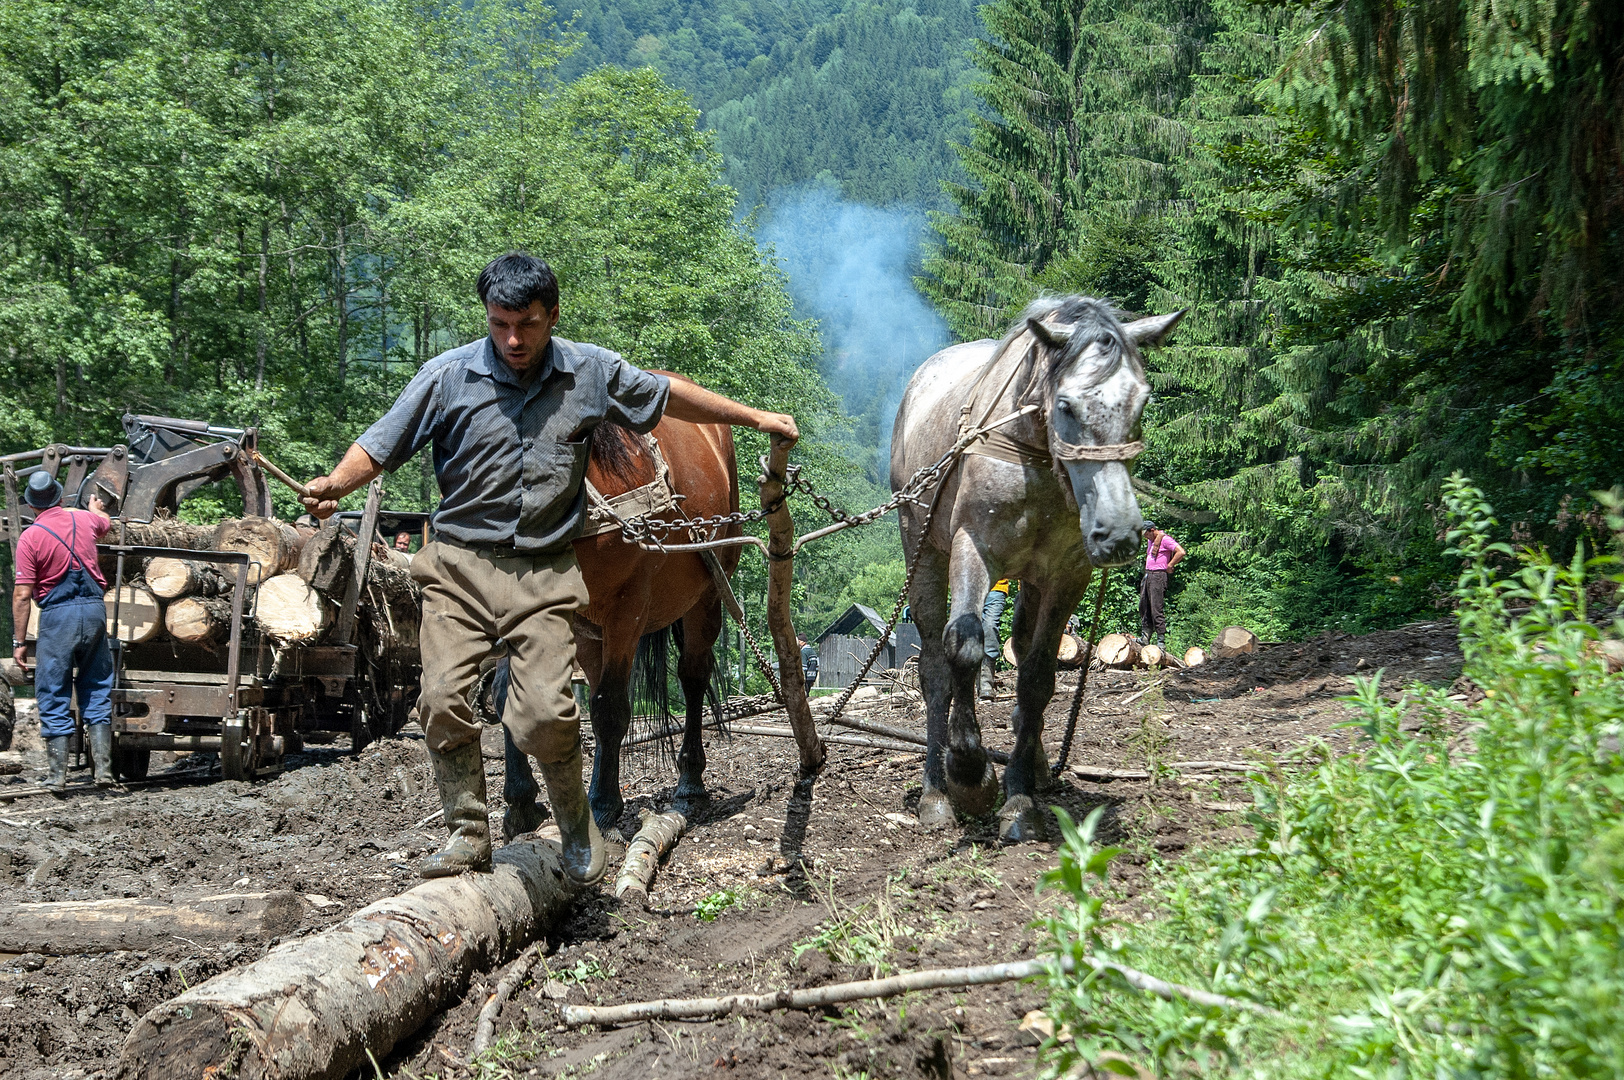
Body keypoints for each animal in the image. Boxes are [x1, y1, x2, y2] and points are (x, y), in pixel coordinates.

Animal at [496, 375, 743, 838]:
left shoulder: (626, 612)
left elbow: (612, 707)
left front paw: (604, 805)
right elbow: (508, 695)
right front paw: (521, 801)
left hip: (705, 597)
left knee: (692, 677)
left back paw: (690, 781)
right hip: (589, 633)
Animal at [889, 297, 1182, 844]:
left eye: (1141, 404)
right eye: (1065, 405)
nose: (1119, 533)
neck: (1036, 457)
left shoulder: (1067, 573)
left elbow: (1039, 676)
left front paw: (1020, 798)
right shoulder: (972, 548)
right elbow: (963, 645)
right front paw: (971, 777)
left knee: (1024, 650)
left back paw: (1039, 765)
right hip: (923, 552)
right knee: (935, 668)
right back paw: (936, 791)